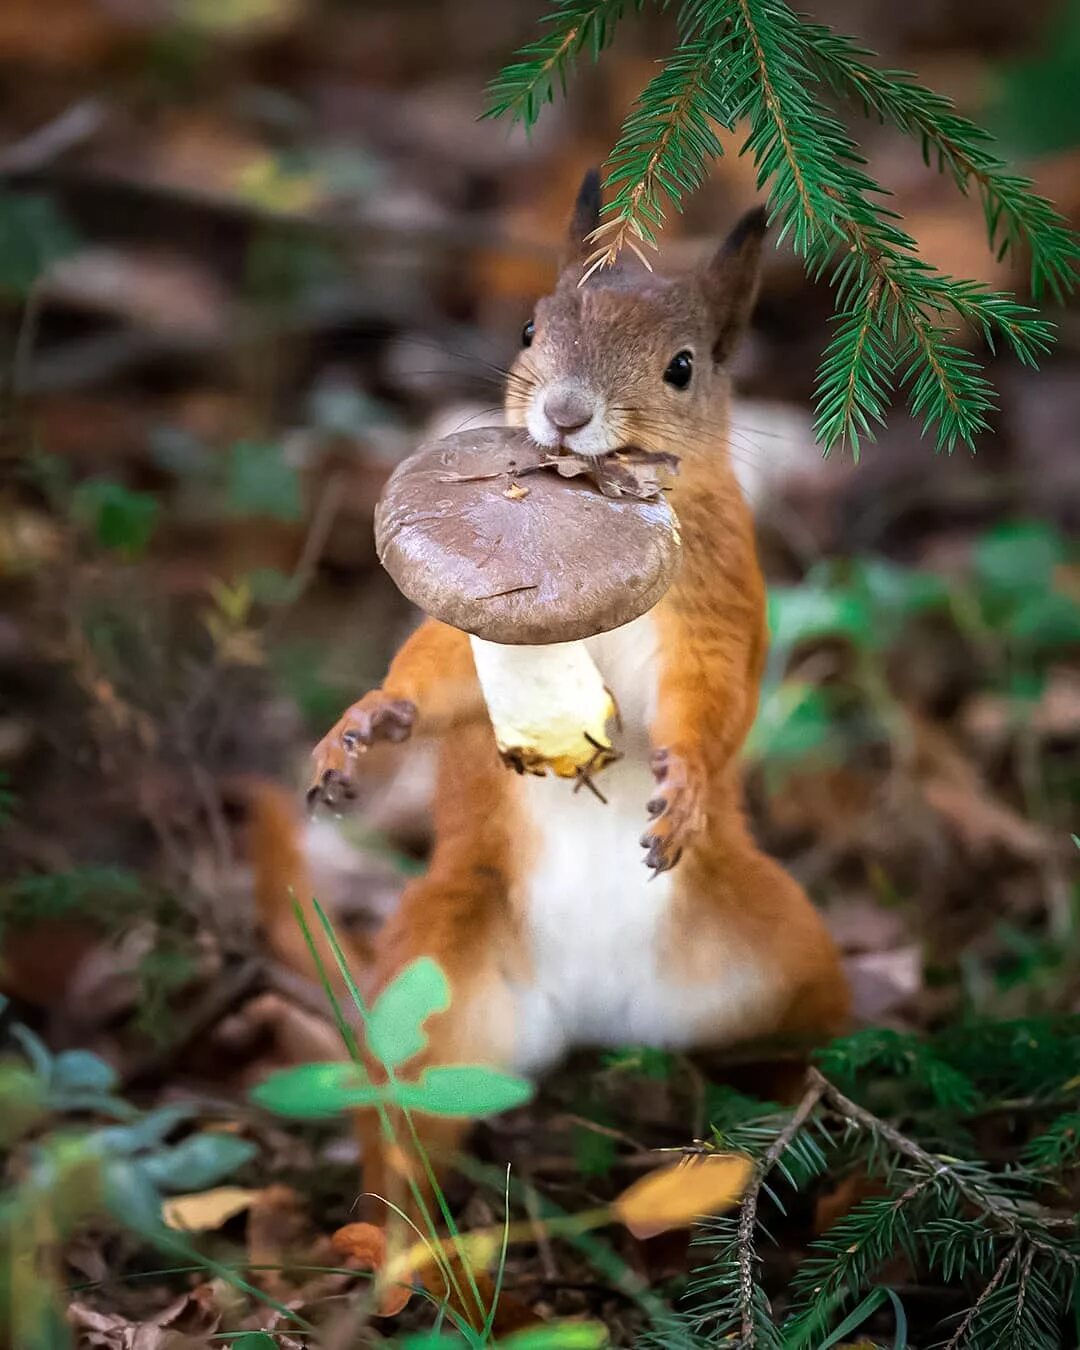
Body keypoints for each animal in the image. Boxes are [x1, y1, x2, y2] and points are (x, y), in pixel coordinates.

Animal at [297, 168, 853, 1215]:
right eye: (528, 327)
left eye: (683, 367)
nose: (562, 412)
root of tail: (604, 1013)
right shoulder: (477, 628)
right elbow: (440, 676)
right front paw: (365, 724)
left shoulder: (719, 595)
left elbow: (711, 696)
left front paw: (684, 784)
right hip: (430, 979)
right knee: (405, 1125)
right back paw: (398, 1239)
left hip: (789, 954)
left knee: (814, 1048)